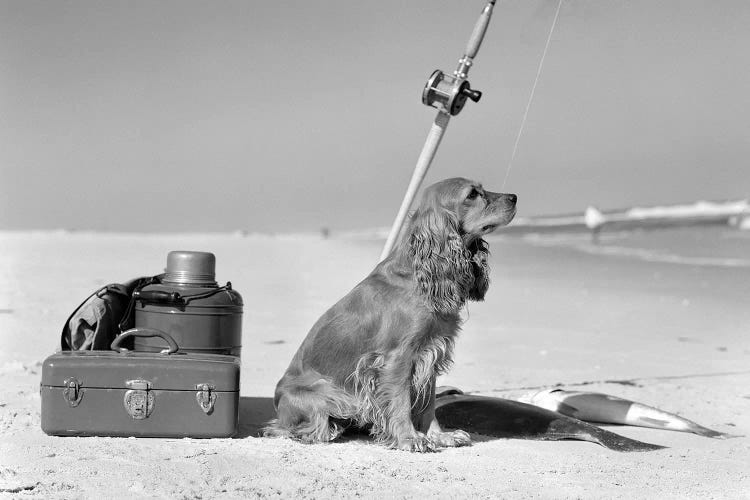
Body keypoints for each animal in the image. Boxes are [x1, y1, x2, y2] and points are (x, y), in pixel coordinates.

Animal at [268, 178, 520, 452]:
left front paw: (438, 435)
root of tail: (278, 402)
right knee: (291, 427)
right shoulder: (397, 358)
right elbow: (400, 402)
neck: (418, 276)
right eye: (472, 195)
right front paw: (410, 438)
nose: (514, 197)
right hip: (329, 394)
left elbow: (428, 404)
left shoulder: (430, 353)